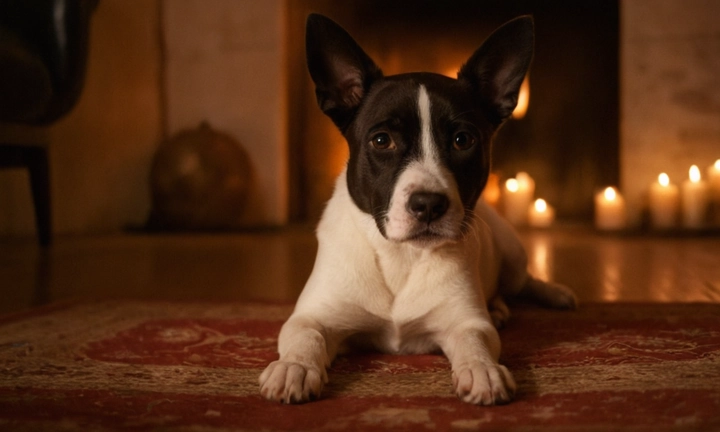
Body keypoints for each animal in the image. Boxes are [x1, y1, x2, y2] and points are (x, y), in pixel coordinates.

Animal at [256, 12, 576, 404]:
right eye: (382, 140)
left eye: (463, 140)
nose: (428, 204)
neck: (401, 256)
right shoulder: (315, 315)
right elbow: (306, 336)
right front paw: (294, 367)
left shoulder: (465, 322)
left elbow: (474, 340)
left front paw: (482, 369)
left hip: (513, 255)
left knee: (524, 281)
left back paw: (551, 294)